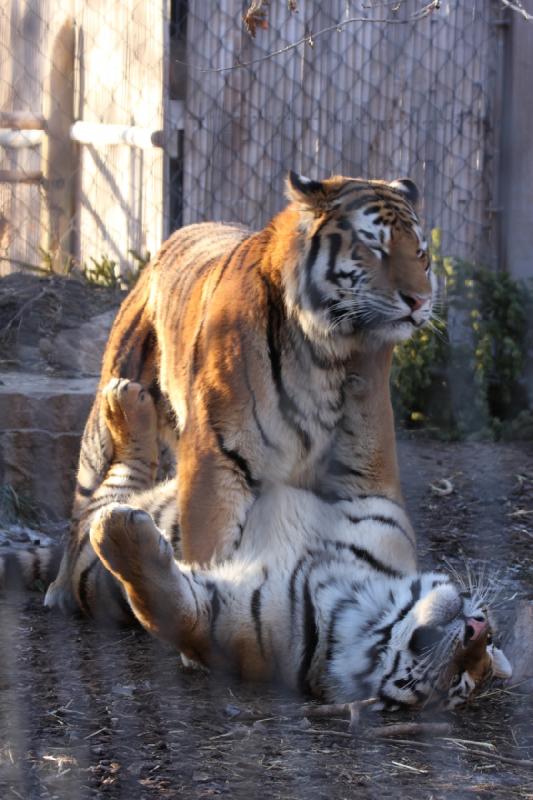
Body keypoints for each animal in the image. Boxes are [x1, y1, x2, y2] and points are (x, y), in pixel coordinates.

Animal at [45, 173, 434, 612]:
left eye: (421, 253)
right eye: (375, 247)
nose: (421, 300)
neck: (326, 354)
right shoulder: (216, 456)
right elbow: (213, 547)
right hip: (106, 409)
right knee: (85, 498)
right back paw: (61, 589)